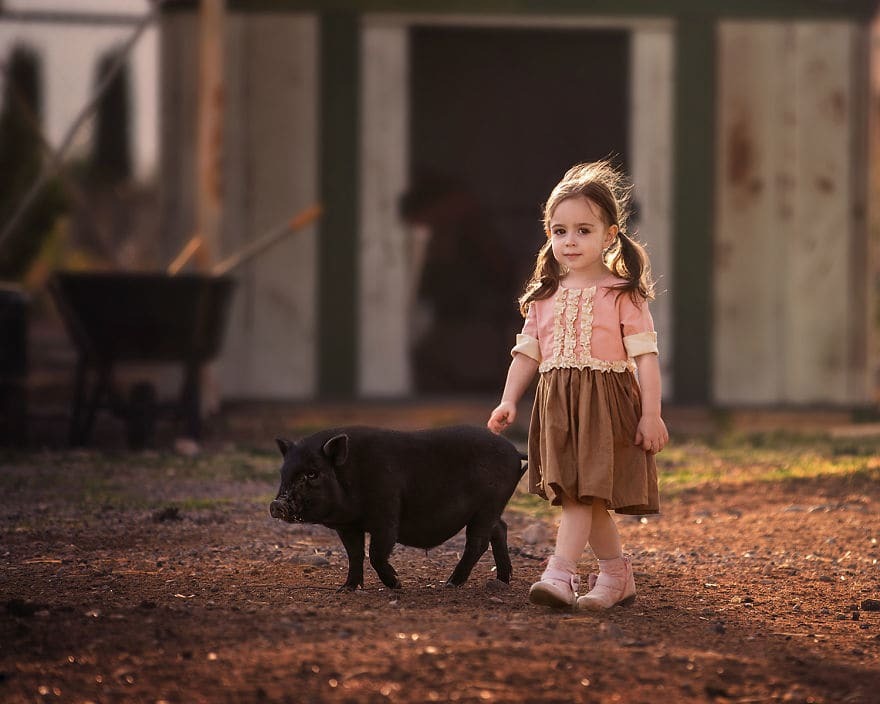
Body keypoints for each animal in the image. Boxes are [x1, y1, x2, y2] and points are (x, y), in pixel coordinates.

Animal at [268, 426, 524, 592]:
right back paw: (502, 580)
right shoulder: (348, 526)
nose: (276, 504)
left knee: (478, 542)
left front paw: (397, 585)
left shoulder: (386, 515)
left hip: (488, 506)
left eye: (312, 474)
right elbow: (354, 554)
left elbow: (376, 553)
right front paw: (347, 589)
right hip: (491, 510)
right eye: (283, 473)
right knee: (500, 529)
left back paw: (451, 584)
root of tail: (514, 451)